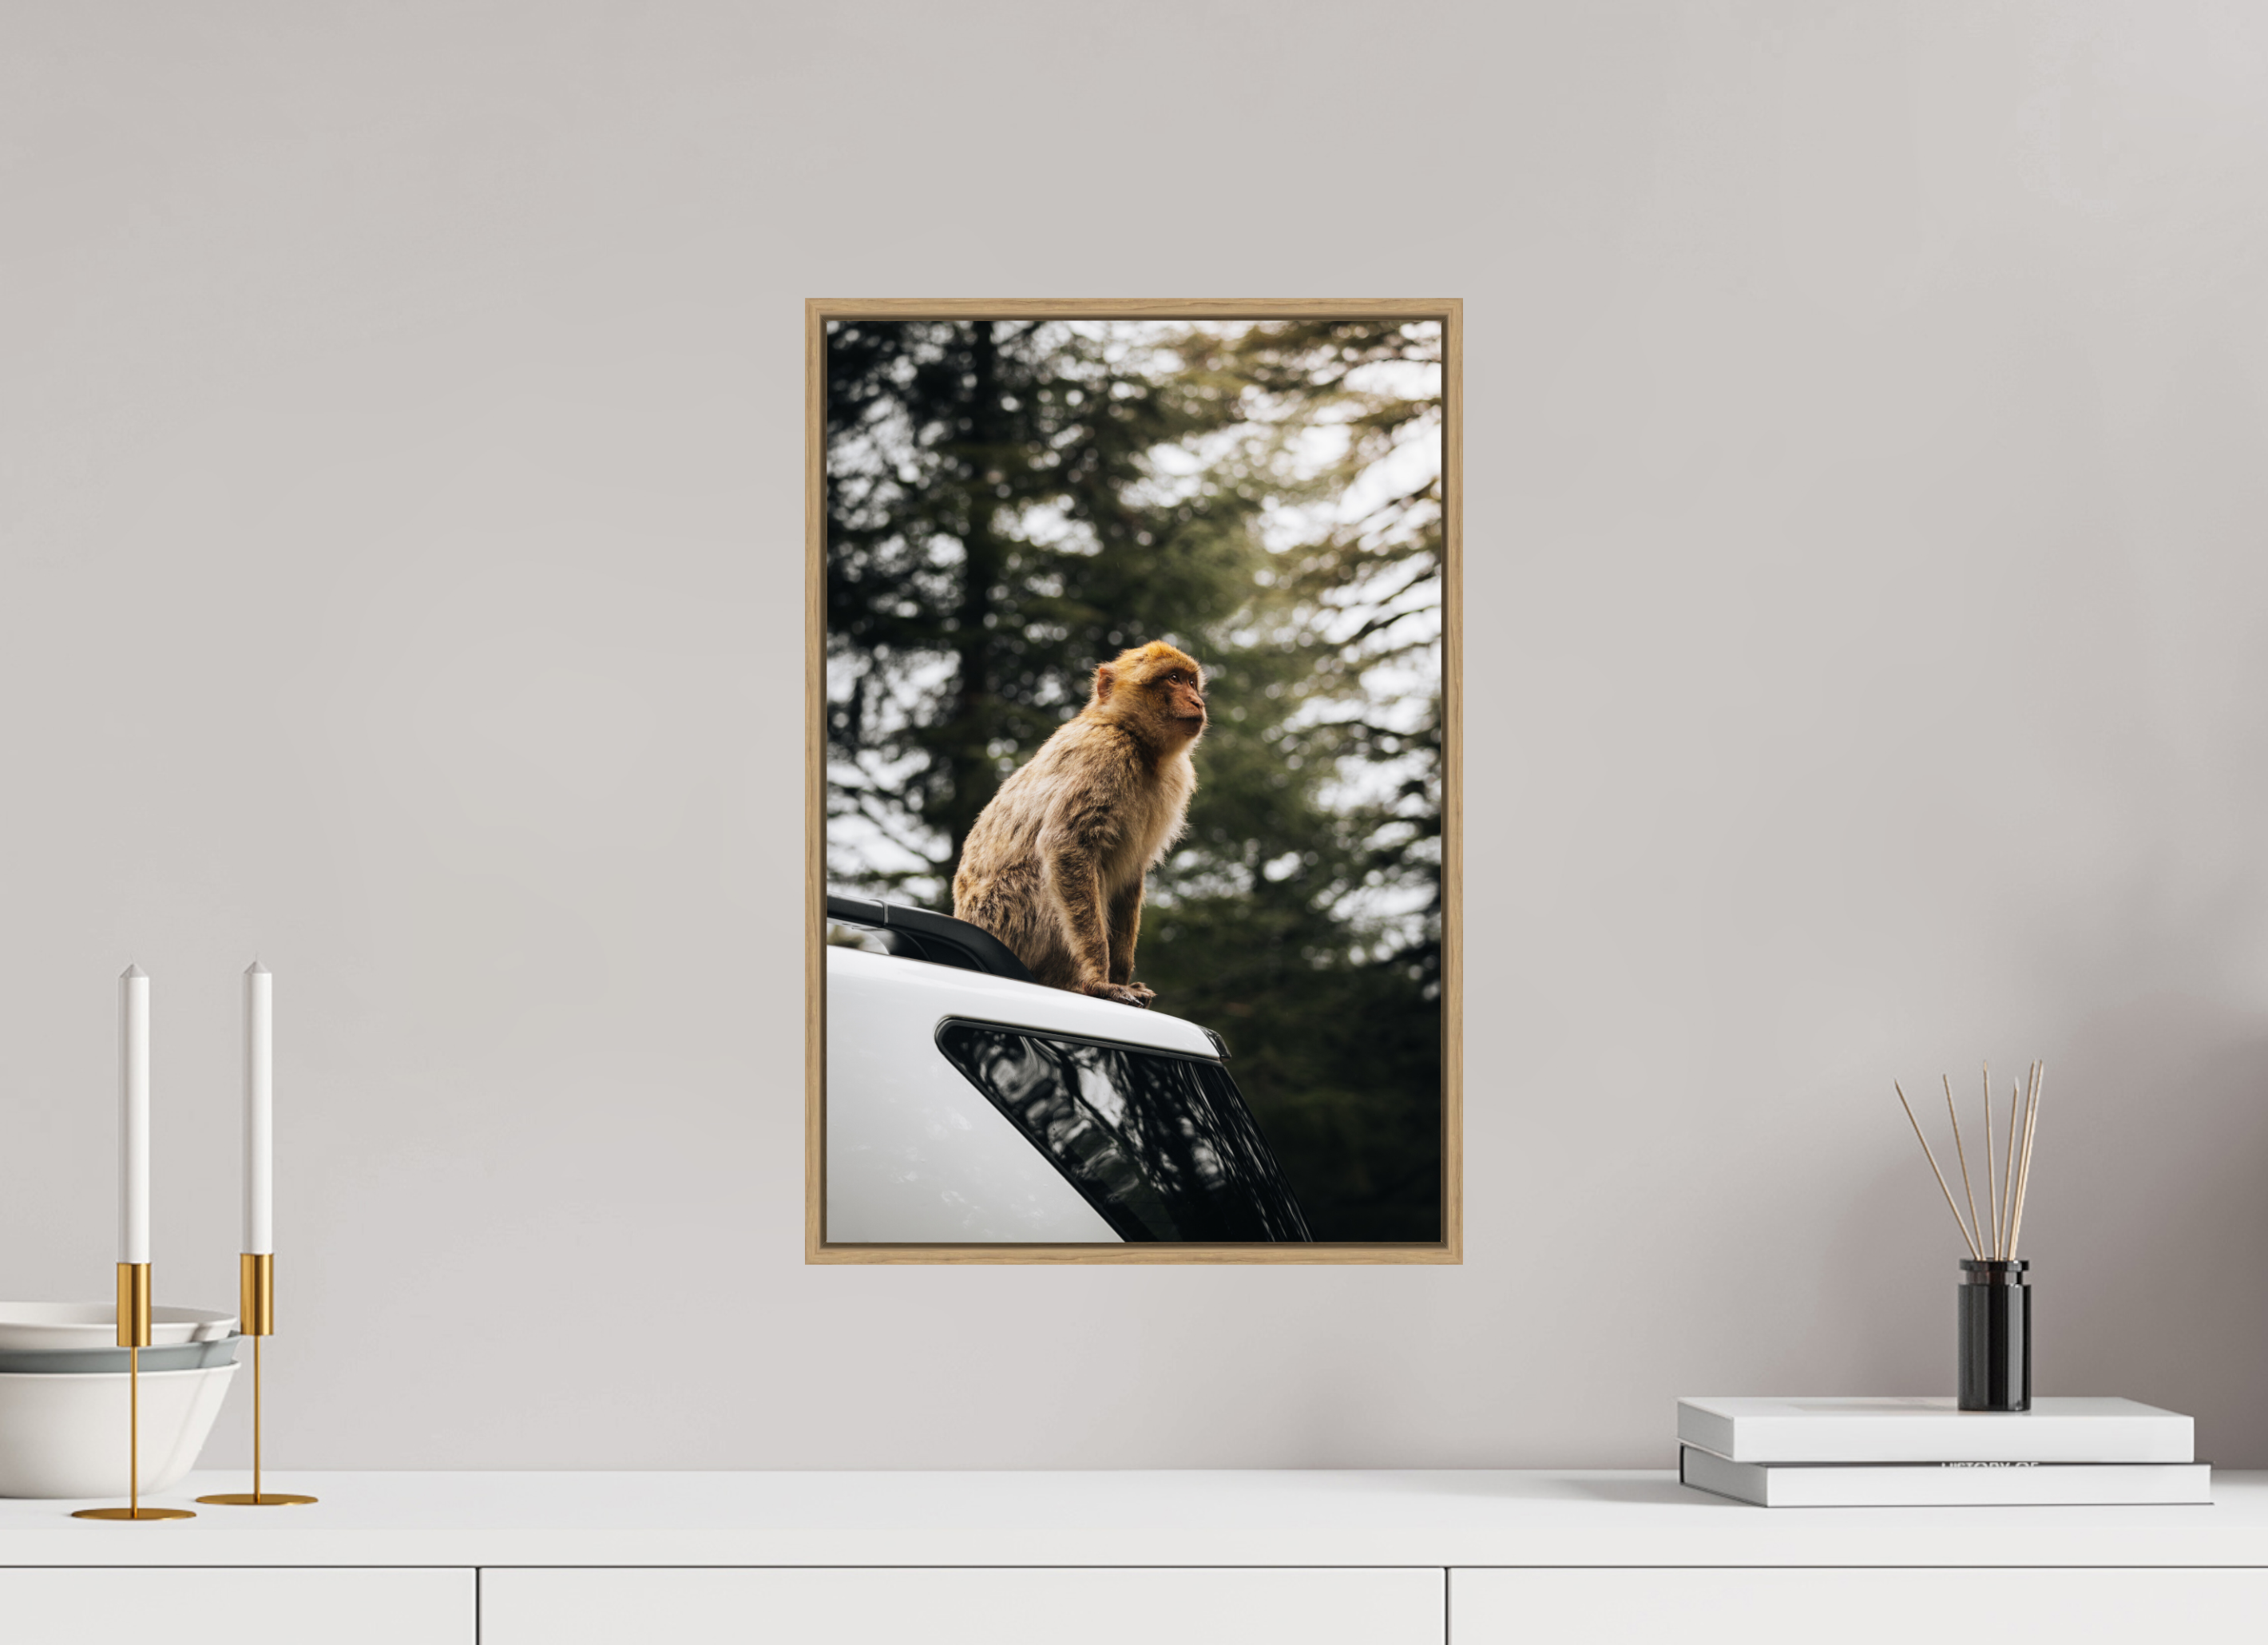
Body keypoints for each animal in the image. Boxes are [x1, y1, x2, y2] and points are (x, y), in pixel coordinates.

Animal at [952, 642, 1207, 1008]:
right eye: (1173, 679)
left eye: (1191, 682)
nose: (1198, 702)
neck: (1135, 739)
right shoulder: (1104, 756)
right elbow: (1066, 845)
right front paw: (1099, 979)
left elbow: (1132, 871)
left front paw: (1120, 976)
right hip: (1004, 919)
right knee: (1042, 873)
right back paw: (1067, 981)